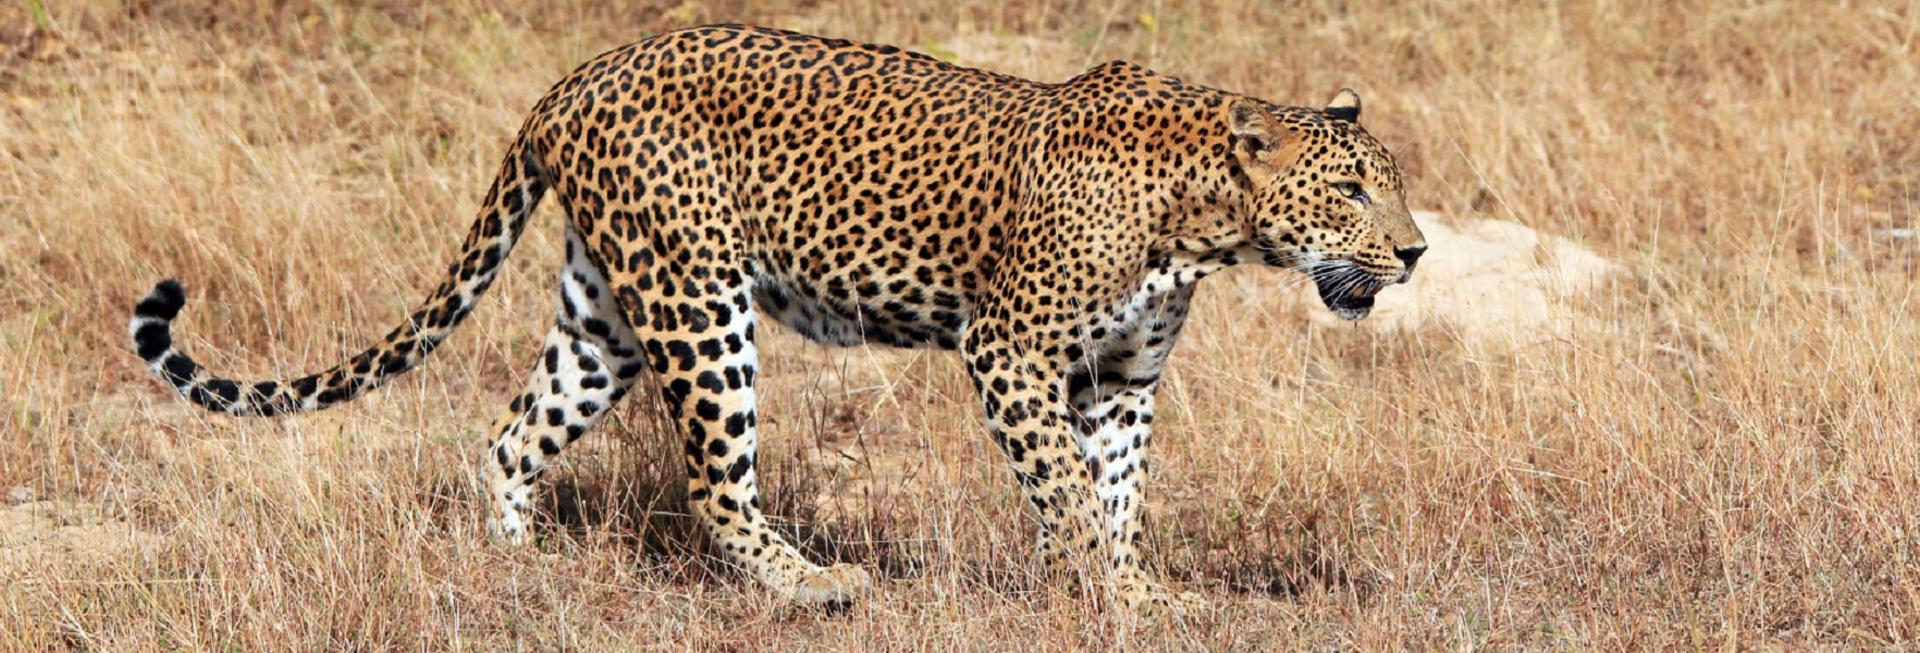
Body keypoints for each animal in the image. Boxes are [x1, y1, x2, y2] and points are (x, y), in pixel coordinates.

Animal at [127, 21, 1428, 610]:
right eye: (1356, 190)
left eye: (1391, 184)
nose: (1416, 252)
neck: (1205, 220)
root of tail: (575, 76)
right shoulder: (1009, 352)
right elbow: (1064, 482)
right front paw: (1114, 594)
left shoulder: (1120, 379)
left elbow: (1113, 491)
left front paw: (1126, 590)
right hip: (702, 305)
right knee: (715, 482)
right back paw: (812, 586)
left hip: (606, 312)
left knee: (511, 432)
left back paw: (516, 569)